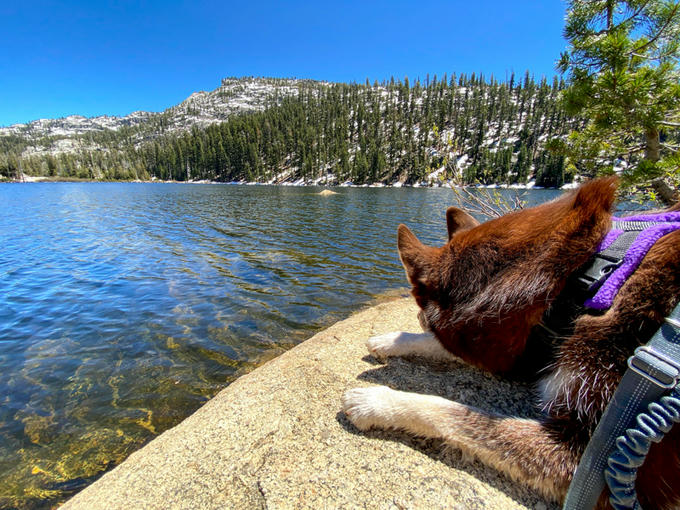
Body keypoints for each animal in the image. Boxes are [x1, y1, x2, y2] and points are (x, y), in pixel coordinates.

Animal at [342, 177, 680, 508]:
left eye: (419, 301)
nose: (417, 317)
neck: (583, 282)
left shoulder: (590, 459)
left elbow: (458, 415)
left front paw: (376, 401)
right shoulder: (531, 347)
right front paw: (391, 340)